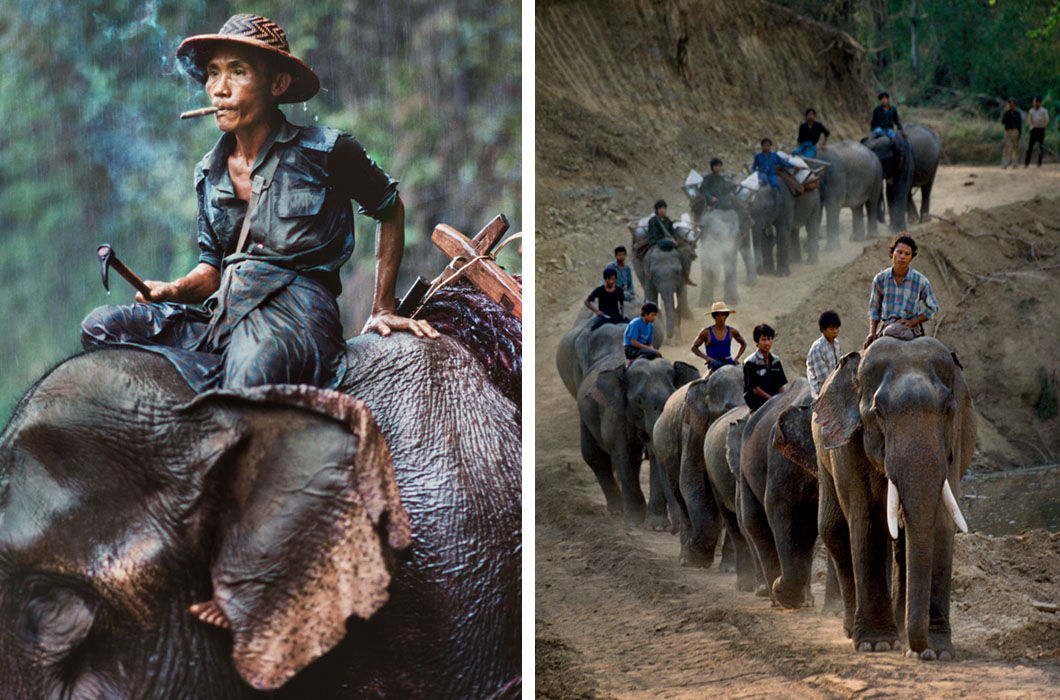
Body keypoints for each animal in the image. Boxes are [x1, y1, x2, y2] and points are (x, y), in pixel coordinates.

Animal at [809, 337, 975, 657]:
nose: (918, 649)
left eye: (948, 408)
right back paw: (855, 630)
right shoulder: (851, 443)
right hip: (822, 450)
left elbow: (940, 521)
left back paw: (899, 628)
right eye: (878, 412)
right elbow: (867, 520)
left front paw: (936, 651)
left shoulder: (953, 440)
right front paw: (877, 644)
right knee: (833, 528)